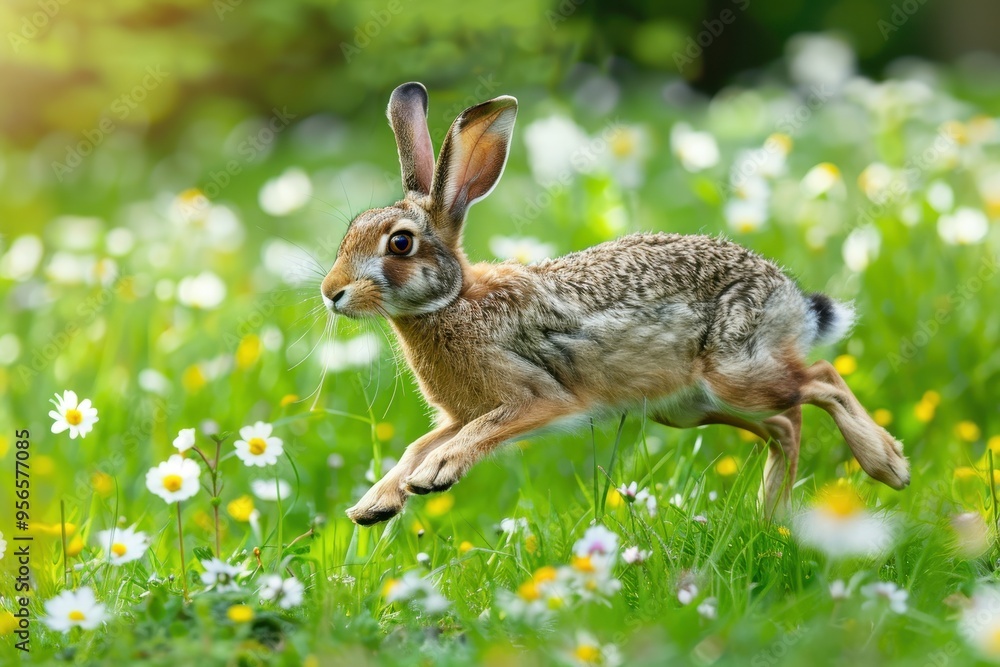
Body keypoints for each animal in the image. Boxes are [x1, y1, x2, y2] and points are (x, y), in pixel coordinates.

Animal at [322, 82, 911, 526]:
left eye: (400, 244)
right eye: (348, 233)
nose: (332, 293)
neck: (453, 301)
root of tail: (790, 296)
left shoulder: (535, 398)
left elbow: (474, 434)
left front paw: (434, 476)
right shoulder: (457, 414)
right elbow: (416, 446)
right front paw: (377, 504)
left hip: (736, 371)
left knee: (820, 380)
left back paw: (887, 466)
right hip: (687, 406)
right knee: (786, 424)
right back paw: (773, 518)